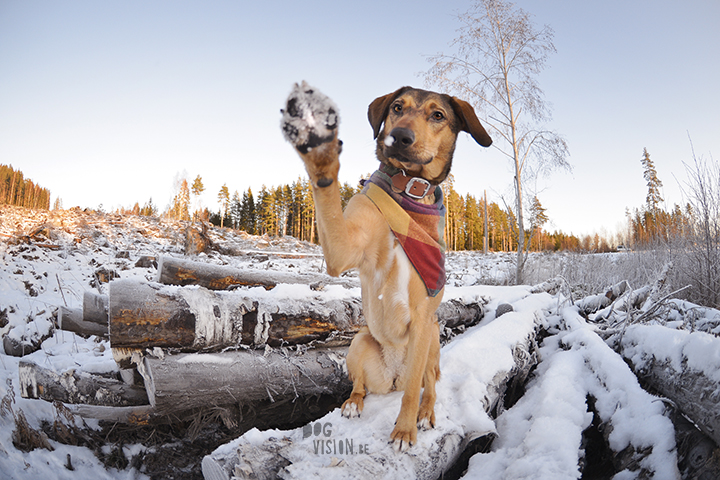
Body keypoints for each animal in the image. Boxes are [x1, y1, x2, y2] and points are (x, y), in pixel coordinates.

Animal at [280, 80, 490, 452]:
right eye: (397, 107)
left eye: (438, 115)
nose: (400, 136)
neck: (407, 191)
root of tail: (392, 376)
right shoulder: (342, 249)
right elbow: (329, 206)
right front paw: (321, 156)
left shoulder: (422, 316)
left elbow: (413, 394)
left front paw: (405, 431)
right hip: (359, 341)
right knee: (361, 385)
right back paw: (353, 402)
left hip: (431, 337)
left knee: (425, 384)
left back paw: (425, 412)